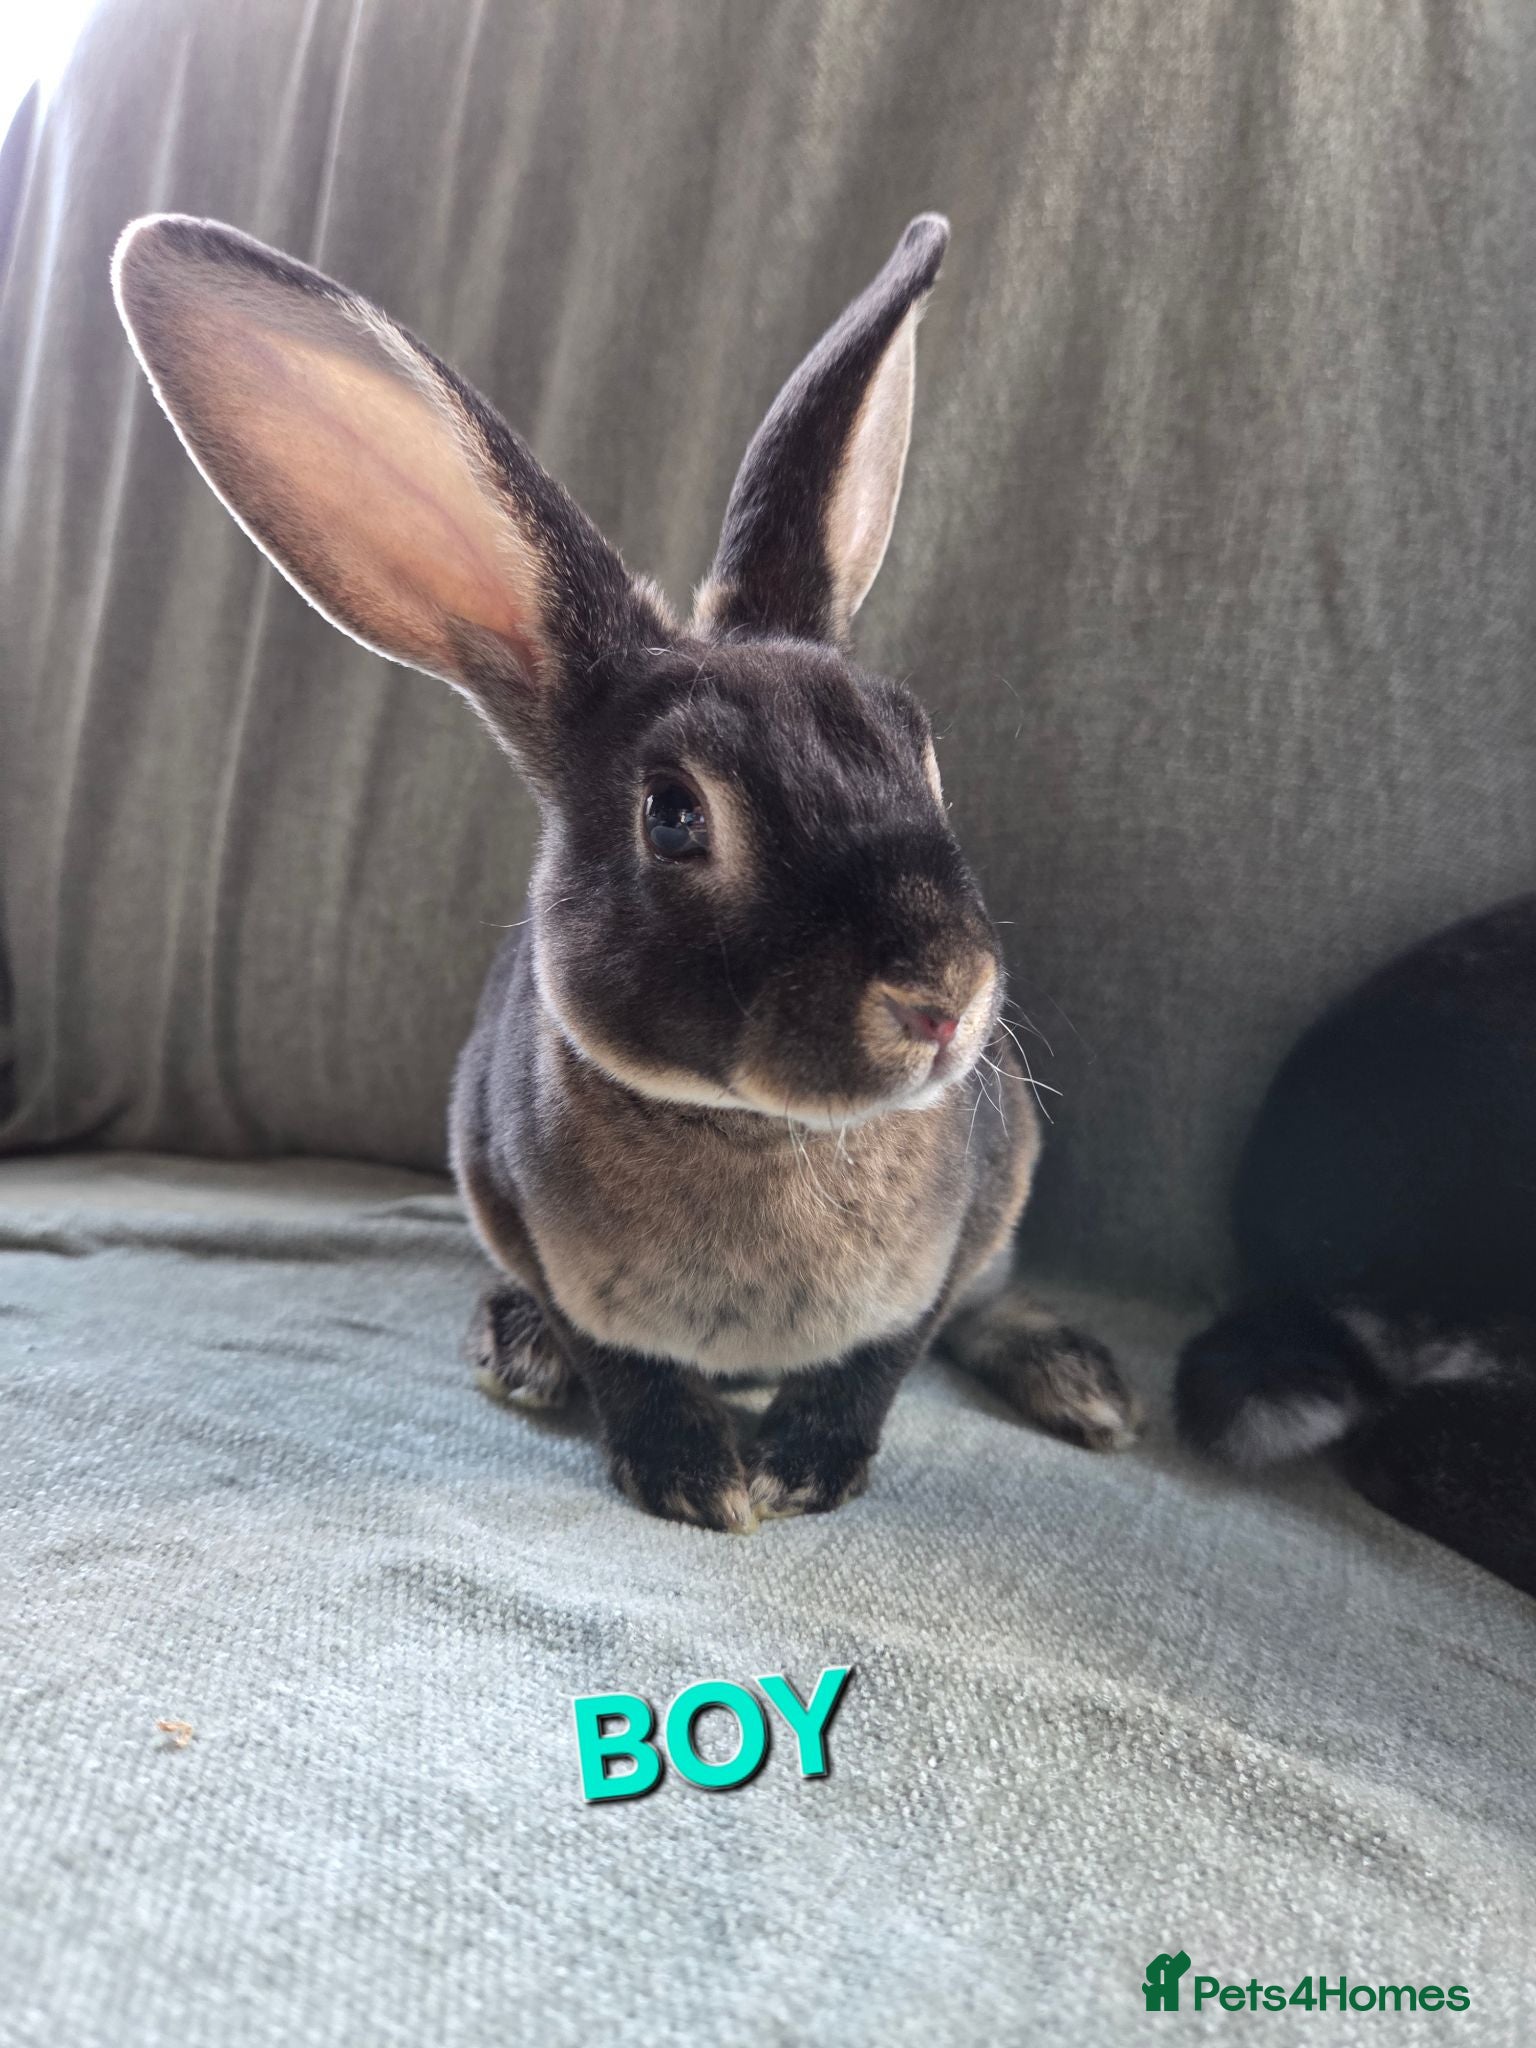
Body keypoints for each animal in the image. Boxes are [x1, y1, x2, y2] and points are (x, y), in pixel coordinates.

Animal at [112, 210, 1138, 1531]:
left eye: (917, 744)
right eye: (675, 817)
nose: (943, 1000)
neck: (766, 1128)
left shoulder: (958, 1235)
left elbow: (884, 1357)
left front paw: (804, 1468)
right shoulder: (534, 1219)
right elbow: (624, 1362)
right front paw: (697, 1476)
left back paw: (1084, 1383)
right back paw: (519, 1350)